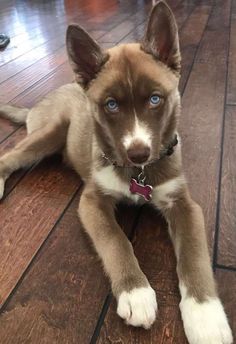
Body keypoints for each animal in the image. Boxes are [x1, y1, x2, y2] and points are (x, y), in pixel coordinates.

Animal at [0, 1, 233, 342]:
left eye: (155, 99)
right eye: (111, 105)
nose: (138, 153)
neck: (138, 174)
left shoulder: (183, 204)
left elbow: (194, 254)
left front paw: (205, 316)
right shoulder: (92, 201)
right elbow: (115, 239)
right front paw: (136, 293)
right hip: (51, 131)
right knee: (9, 156)